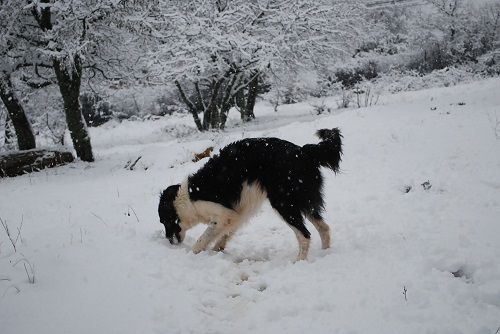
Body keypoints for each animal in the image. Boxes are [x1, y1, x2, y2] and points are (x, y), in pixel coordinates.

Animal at [158, 128, 342, 260]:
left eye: (164, 221)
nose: (168, 241)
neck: (186, 199)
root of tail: (304, 152)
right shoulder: (237, 214)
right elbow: (224, 235)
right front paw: (217, 250)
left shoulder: (223, 215)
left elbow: (203, 238)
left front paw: (195, 252)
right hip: (304, 203)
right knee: (324, 228)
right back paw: (325, 254)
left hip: (284, 204)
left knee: (305, 235)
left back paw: (299, 261)